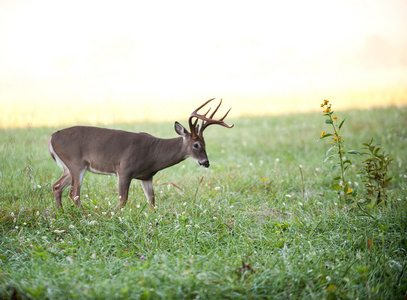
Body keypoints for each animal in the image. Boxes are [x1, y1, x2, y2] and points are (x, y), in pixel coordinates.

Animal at [48, 98, 234, 211]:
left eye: (205, 144)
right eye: (196, 145)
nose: (206, 162)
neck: (153, 154)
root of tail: (52, 137)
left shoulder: (147, 176)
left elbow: (152, 201)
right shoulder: (124, 169)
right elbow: (123, 200)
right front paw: (111, 215)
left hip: (69, 166)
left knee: (57, 186)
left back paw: (62, 213)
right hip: (76, 162)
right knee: (74, 194)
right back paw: (85, 215)